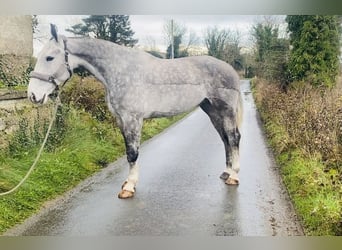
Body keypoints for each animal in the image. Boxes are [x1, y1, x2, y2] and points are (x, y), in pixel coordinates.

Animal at [27, 23, 243, 199]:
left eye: (49, 57)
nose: (33, 95)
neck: (120, 70)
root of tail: (231, 70)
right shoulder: (121, 119)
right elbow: (128, 152)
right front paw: (128, 182)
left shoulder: (133, 119)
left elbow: (133, 153)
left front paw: (129, 187)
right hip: (212, 110)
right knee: (225, 138)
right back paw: (226, 171)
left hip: (226, 110)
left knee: (233, 138)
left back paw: (233, 176)